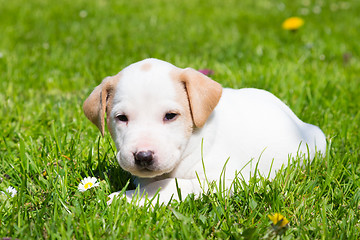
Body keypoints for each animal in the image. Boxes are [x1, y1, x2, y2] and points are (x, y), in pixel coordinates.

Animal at [83, 58, 326, 204]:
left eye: (170, 116)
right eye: (121, 118)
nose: (143, 156)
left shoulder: (227, 179)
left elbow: (172, 184)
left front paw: (130, 199)